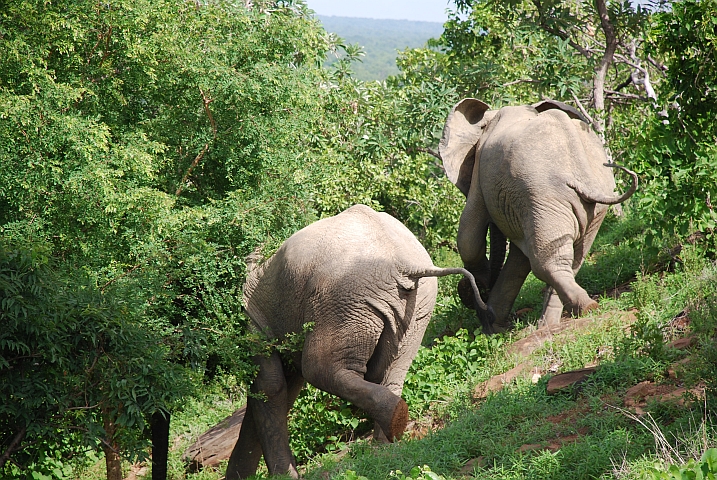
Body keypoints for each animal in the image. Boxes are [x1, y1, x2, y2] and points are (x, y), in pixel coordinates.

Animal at [227, 204, 484, 478]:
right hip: (415, 306)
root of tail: (404, 264)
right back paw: (386, 443)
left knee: (319, 368)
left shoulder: (252, 315)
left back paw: (392, 422)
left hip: (342, 300)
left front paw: (281, 476)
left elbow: (270, 386)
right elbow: (283, 387)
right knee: (391, 371)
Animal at [436, 99, 636, 334]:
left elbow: (469, 237)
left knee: (544, 262)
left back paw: (580, 310)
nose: (479, 298)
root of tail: (583, 174)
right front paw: (494, 326)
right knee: (570, 259)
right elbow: (517, 258)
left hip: (543, 194)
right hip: (580, 206)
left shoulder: (481, 174)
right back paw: (559, 320)